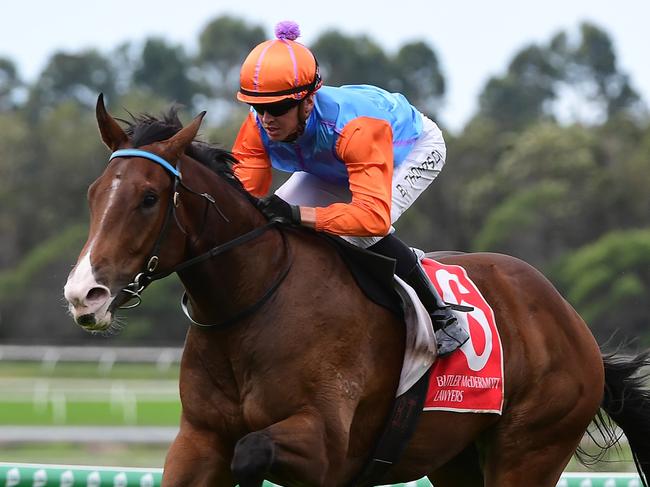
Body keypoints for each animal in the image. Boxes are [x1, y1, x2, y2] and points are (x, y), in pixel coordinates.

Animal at [62, 96, 648, 487]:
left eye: (148, 198)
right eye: (92, 193)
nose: (83, 294)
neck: (253, 304)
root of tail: (570, 321)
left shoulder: (324, 445)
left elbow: (250, 452)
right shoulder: (198, 440)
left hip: (529, 449)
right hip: (456, 460)